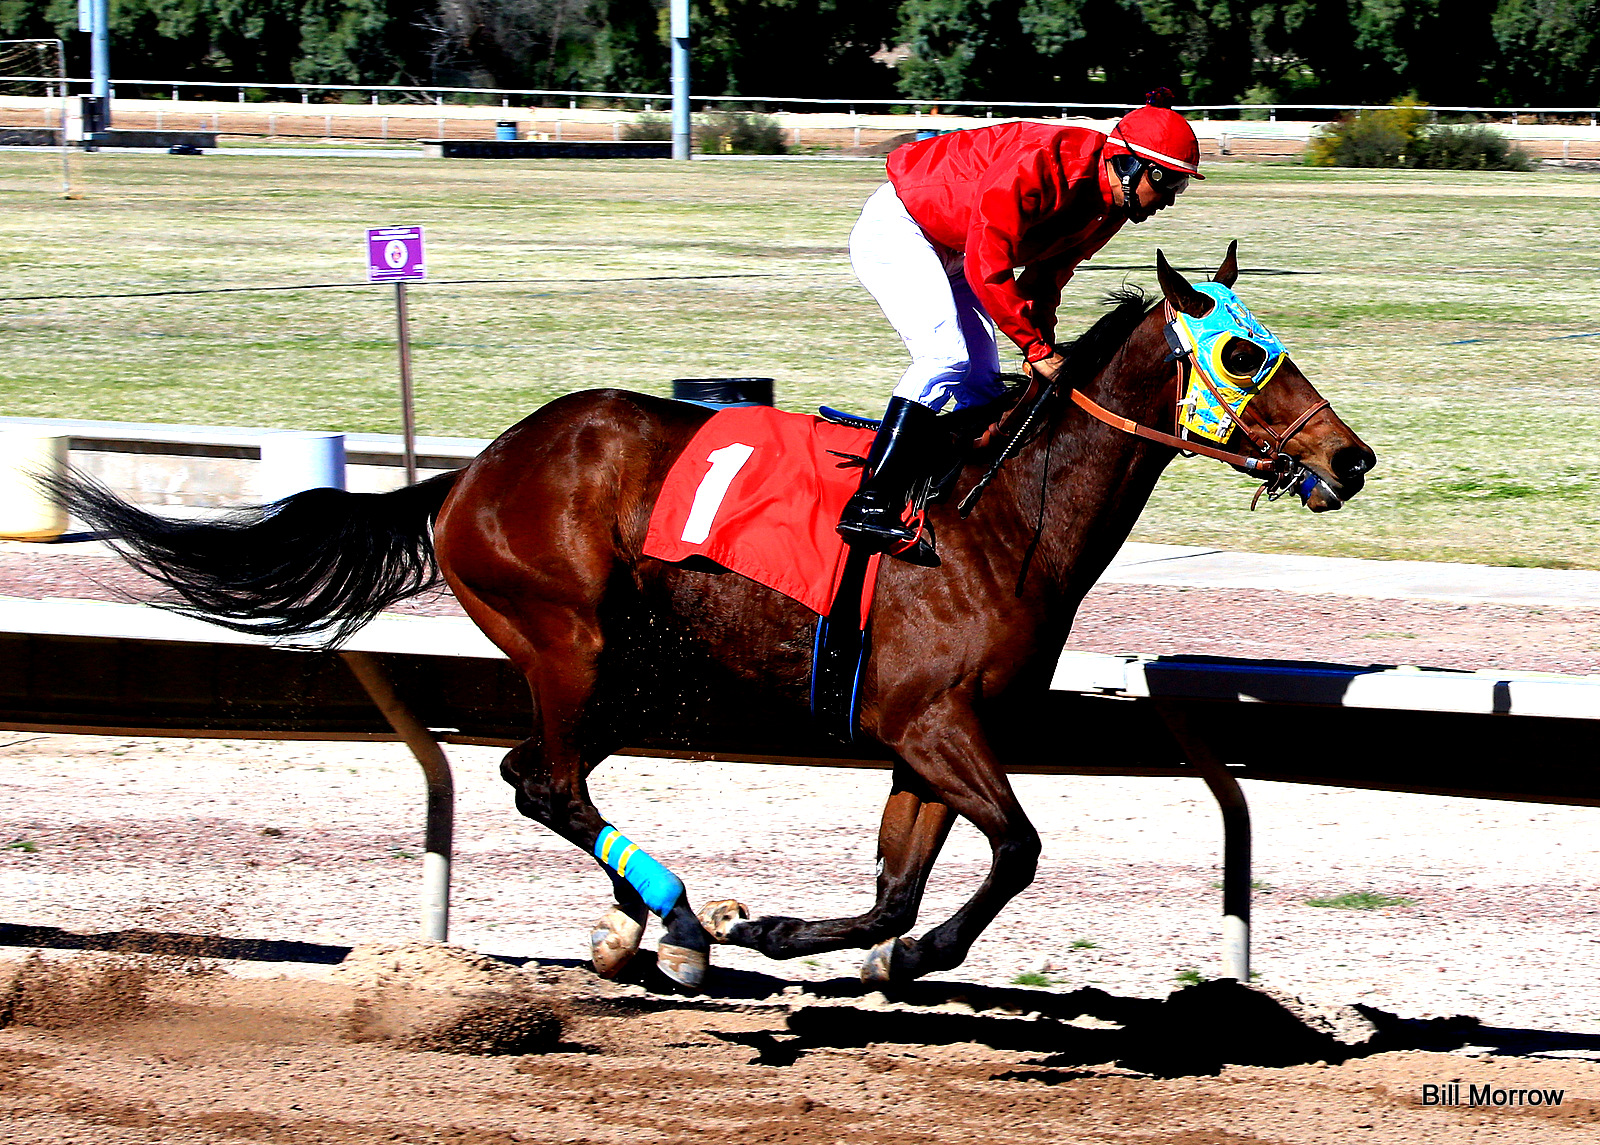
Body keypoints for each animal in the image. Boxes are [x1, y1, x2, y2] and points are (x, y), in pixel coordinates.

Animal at [53, 243, 1376, 991]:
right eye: (1246, 355)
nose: (1350, 457)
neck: (997, 516)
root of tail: (473, 469)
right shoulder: (931, 721)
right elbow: (1016, 851)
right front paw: (880, 950)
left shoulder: (918, 740)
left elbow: (900, 884)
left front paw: (805, 934)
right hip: (569, 638)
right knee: (545, 779)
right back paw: (676, 914)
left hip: (635, 667)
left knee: (546, 777)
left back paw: (652, 926)